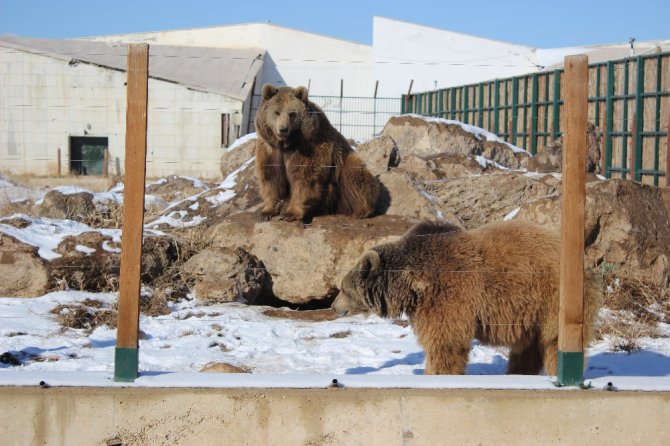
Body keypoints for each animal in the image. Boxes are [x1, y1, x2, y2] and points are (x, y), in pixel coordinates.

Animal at [256, 83, 384, 222]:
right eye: (276, 112)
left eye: (292, 114)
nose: (283, 129)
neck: (287, 143)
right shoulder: (270, 149)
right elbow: (270, 176)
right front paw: (267, 211)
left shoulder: (309, 147)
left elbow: (305, 177)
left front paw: (289, 214)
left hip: (342, 164)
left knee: (355, 175)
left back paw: (361, 211)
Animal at [334, 221, 608, 374]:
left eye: (343, 288)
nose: (335, 306)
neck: (412, 285)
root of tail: (587, 263)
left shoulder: (447, 297)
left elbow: (445, 342)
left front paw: (438, 373)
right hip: (531, 311)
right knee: (527, 348)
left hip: (551, 298)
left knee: (553, 341)